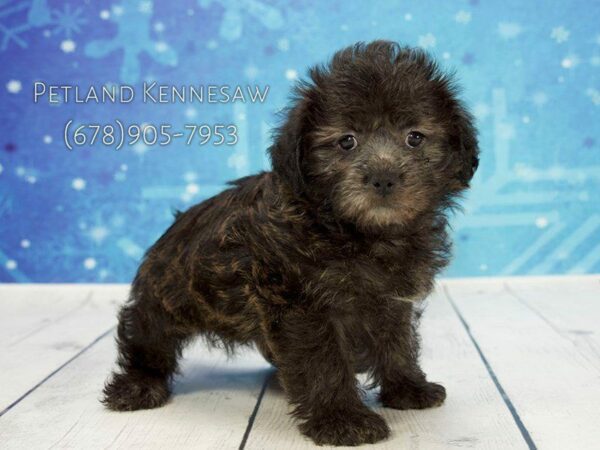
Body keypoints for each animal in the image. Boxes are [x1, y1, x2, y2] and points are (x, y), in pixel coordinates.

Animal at [103, 39, 478, 446]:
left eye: (415, 137)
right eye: (346, 141)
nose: (384, 177)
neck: (359, 232)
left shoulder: (392, 301)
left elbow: (396, 343)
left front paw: (407, 387)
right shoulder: (300, 304)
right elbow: (322, 361)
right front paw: (341, 418)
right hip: (168, 297)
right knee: (146, 333)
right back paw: (138, 385)